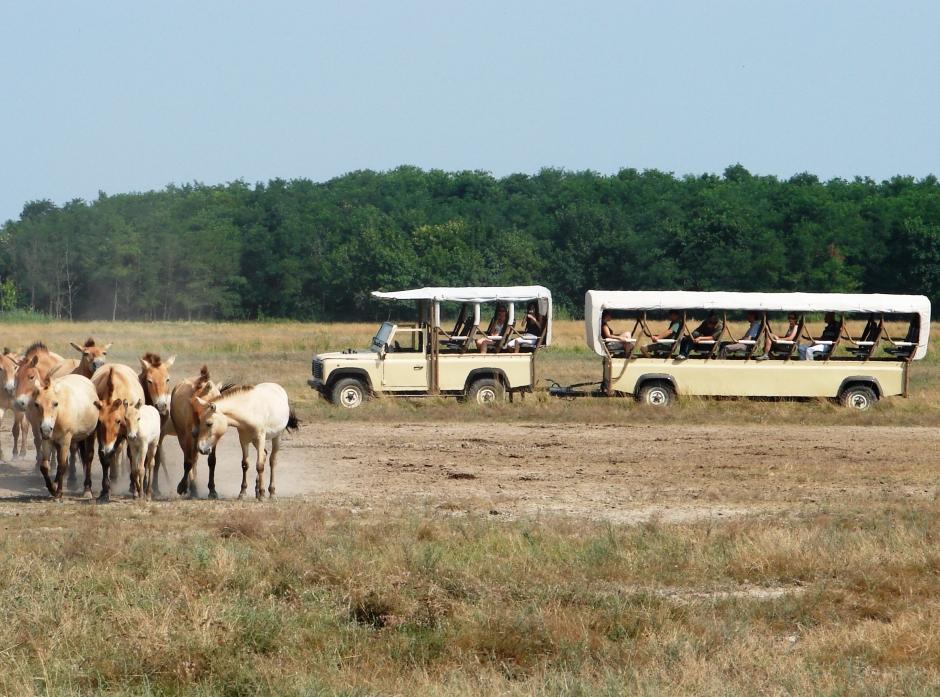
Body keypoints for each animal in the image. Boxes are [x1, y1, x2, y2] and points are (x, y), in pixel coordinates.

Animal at [91, 364, 145, 500]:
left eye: (118, 421)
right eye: (99, 421)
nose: (107, 448)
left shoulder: (128, 435)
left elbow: (131, 458)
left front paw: (134, 488)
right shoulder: (101, 438)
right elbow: (105, 458)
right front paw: (105, 490)